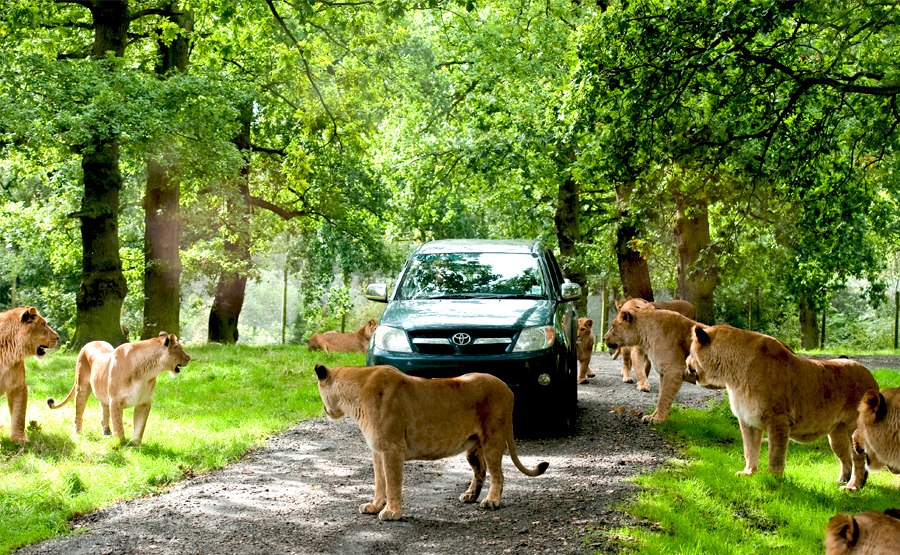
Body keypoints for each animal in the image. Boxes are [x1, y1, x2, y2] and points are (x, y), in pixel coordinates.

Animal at [47, 330, 190, 448]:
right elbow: (118, 424)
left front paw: (135, 445)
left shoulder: (143, 403)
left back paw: (106, 434)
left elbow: (140, 426)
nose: (189, 358)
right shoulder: (115, 401)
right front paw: (121, 444)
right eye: (181, 349)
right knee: (78, 413)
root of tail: (90, 342)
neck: (147, 372)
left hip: (103, 394)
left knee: (104, 415)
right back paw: (78, 434)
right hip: (82, 387)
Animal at [312, 364, 552, 520]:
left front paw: (392, 512)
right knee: (481, 470)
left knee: (498, 474)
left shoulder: (393, 448)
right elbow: (380, 481)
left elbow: (392, 482)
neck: (355, 397)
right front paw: (374, 506)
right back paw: (470, 496)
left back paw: (492, 501)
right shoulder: (377, 450)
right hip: (473, 447)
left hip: (493, 438)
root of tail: (506, 387)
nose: (324, 408)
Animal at [684, 326, 876, 486]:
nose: (686, 362)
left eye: (691, 351)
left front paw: (772, 477)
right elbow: (749, 449)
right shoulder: (747, 420)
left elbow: (775, 454)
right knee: (847, 459)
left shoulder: (778, 420)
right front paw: (749, 473)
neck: (732, 375)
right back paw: (842, 481)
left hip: (855, 430)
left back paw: (853, 487)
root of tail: (870, 376)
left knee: (859, 461)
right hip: (836, 435)